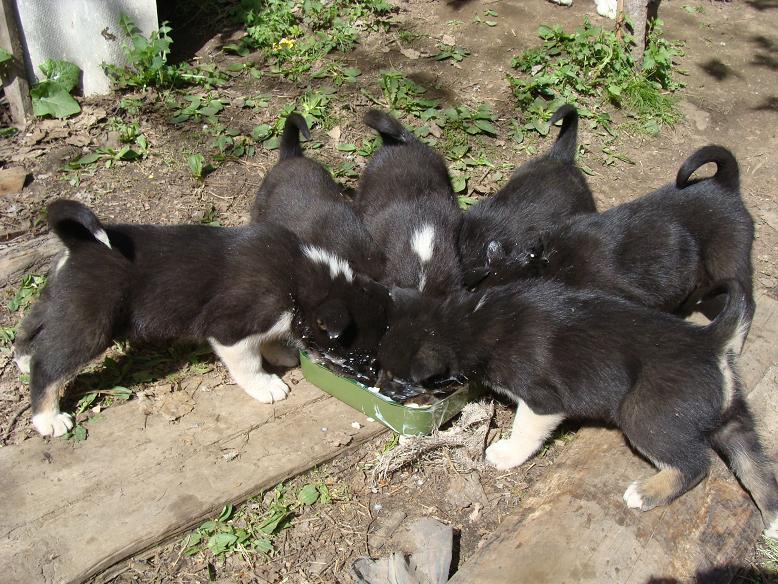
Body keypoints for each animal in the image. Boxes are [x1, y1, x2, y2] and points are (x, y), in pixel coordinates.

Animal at [12, 200, 364, 434]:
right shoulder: (229, 331)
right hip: (90, 323)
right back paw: (48, 420)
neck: (299, 278)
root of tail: (79, 244)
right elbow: (249, 363)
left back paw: (23, 360)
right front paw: (267, 386)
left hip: (62, 301)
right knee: (48, 365)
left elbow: (268, 339)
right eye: (361, 353)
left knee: (31, 328)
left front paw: (280, 352)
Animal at [378, 280, 776, 536]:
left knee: (695, 465)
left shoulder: (542, 401)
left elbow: (524, 431)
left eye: (399, 379)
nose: (381, 388)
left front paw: (505, 455)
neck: (471, 320)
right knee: (754, 466)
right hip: (732, 420)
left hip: (645, 415)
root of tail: (710, 341)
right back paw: (772, 522)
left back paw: (646, 493)